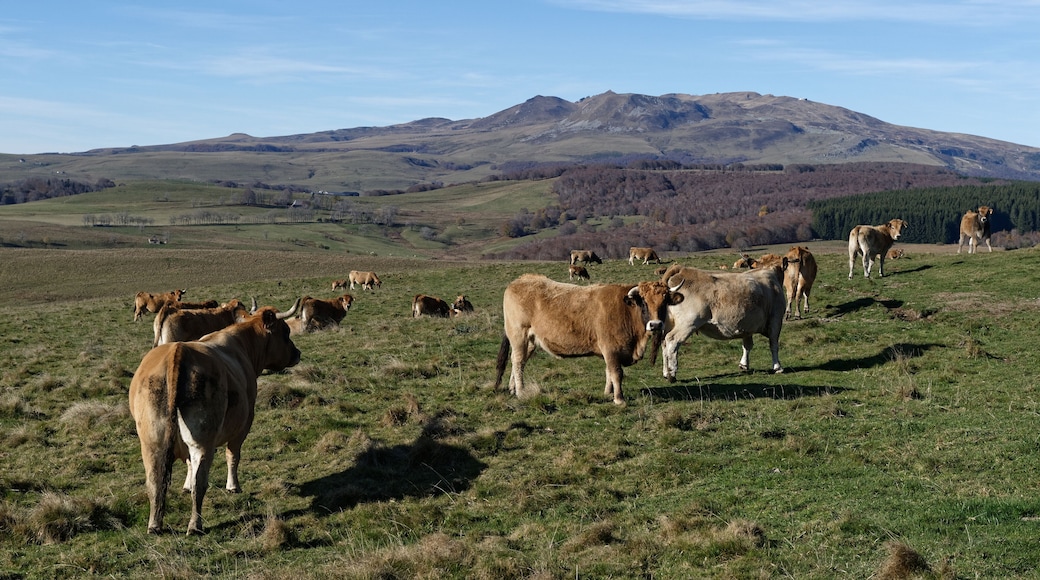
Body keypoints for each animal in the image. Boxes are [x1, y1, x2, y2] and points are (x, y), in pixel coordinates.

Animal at [129, 307, 301, 535]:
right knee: (200, 483)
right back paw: (195, 524)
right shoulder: (244, 424)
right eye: (286, 332)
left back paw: (155, 524)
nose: (297, 354)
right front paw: (233, 486)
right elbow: (232, 455)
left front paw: (186, 485)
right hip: (204, 442)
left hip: (152, 443)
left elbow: (188, 465)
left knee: (155, 482)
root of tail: (178, 351)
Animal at [494, 274, 684, 405]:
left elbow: (609, 371)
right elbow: (616, 372)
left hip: (530, 341)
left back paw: (512, 388)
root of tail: (520, 280)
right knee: (518, 361)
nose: (656, 325)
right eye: (643, 302)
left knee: (519, 361)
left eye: (665, 302)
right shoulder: (611, 349)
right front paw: (619, 399)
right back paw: (520, 391)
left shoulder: (610, 351)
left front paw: (608, 392)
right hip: (519, 335)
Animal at [658, 263, 786, 381]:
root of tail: (681, 269)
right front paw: (777, 367)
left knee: (664, 342)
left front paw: (744, 364)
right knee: (672, 340)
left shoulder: (748, 325)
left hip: (669, 323)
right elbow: (773, 344)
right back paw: (672, 374)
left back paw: (665, 372)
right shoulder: (776, 320)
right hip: (688, 323)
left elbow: (747, 345)